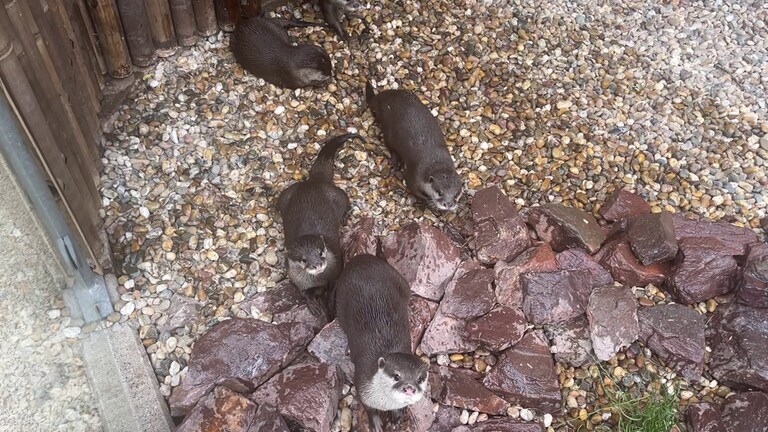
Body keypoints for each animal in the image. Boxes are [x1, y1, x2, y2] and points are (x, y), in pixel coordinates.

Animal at [277, 133, 361, 317]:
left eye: (321, 252)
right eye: (304, 259)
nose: (317, 264)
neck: (320, 278)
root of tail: (313, 181)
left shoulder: (336, 269)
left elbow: (334, 287)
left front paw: (329, 304)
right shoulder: (298, 281)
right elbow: (305, 293)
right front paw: (313, 304)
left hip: (338, 195)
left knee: (345, 199)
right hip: (284, 196)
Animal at [335, 254, 429, 432]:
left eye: (419, 379)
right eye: (396, 376)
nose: (409, 388)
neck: (386, 403)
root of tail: (361, 260)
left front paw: (395, 416)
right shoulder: (362, 387)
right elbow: (368, 408)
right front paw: (376, 422)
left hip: (398, 279)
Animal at [365, 80, 463, 212]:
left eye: (456, 194)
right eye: (440, 193)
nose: (448, 204)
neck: (436, 161)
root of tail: (382, 98)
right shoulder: (414, 176)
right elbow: (415, 191)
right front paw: (429, 203)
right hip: (387, 129)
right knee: (389, 144)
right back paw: (396, 161)